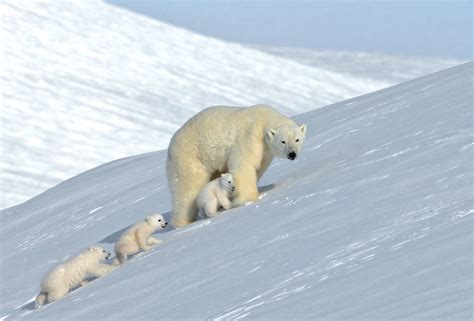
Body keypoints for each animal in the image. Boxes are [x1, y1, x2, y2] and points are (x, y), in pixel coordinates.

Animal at [167, 104, 308, 226]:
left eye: (297, 139)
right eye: (283, 141)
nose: (292, 154)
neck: (264, 119)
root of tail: (171, 144)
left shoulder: (266, 152)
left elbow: (259, 167)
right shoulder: (249, 136)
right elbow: (244, 165)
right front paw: (250, 198)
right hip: (190, 155)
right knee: (188, 188)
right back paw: (182, 222)